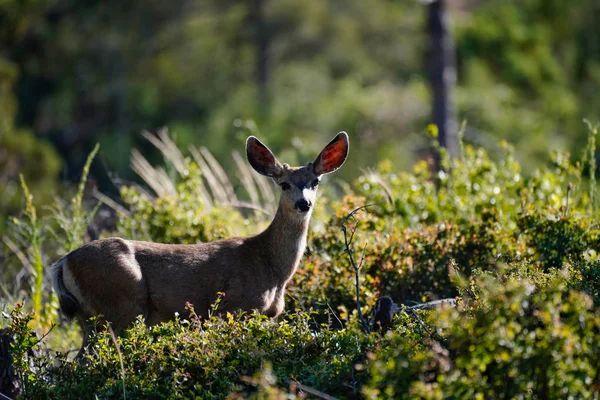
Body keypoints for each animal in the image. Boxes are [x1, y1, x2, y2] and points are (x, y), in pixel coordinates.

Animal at [53, 132, 350, 360]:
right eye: (284, 184)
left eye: (315, 182)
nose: (303, 203)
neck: (271, 268)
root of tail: (63, 262)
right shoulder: (236, 307)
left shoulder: (268, 315)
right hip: (121, 305)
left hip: (90, 317)